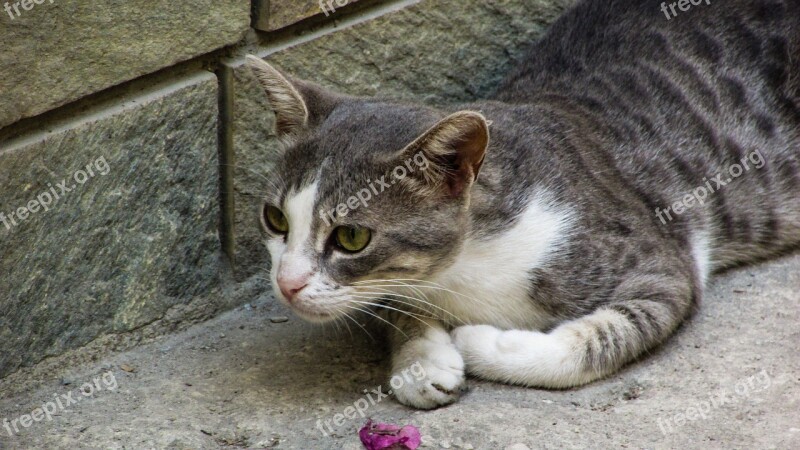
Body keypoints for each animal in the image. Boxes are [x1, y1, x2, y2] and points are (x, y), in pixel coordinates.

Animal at [247, 0, 800, 410]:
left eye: (351, 237)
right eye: (275, 219)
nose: (287, 283)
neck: (465, 268)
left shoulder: (662, 262)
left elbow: (594, 341)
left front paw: (476, 342)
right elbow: (397, 310)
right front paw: (421, 362)